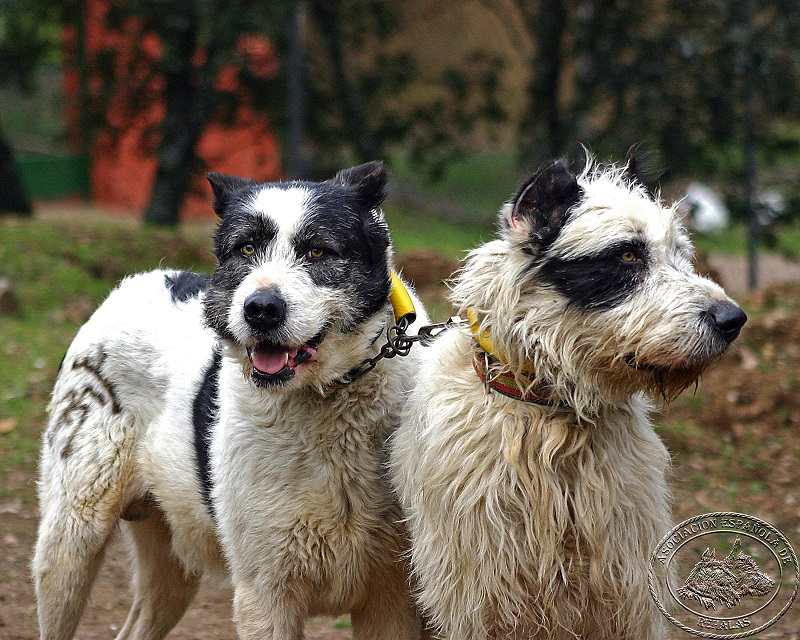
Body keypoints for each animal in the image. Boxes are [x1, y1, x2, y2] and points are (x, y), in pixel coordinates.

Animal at [33, 164, 432, 640]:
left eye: (317, 251)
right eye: (246, 248)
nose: (260, 308)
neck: (325, 399)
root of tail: (142, 280)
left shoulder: (393, 599)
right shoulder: (264, 596)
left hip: (170, 563)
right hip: (71, 543)